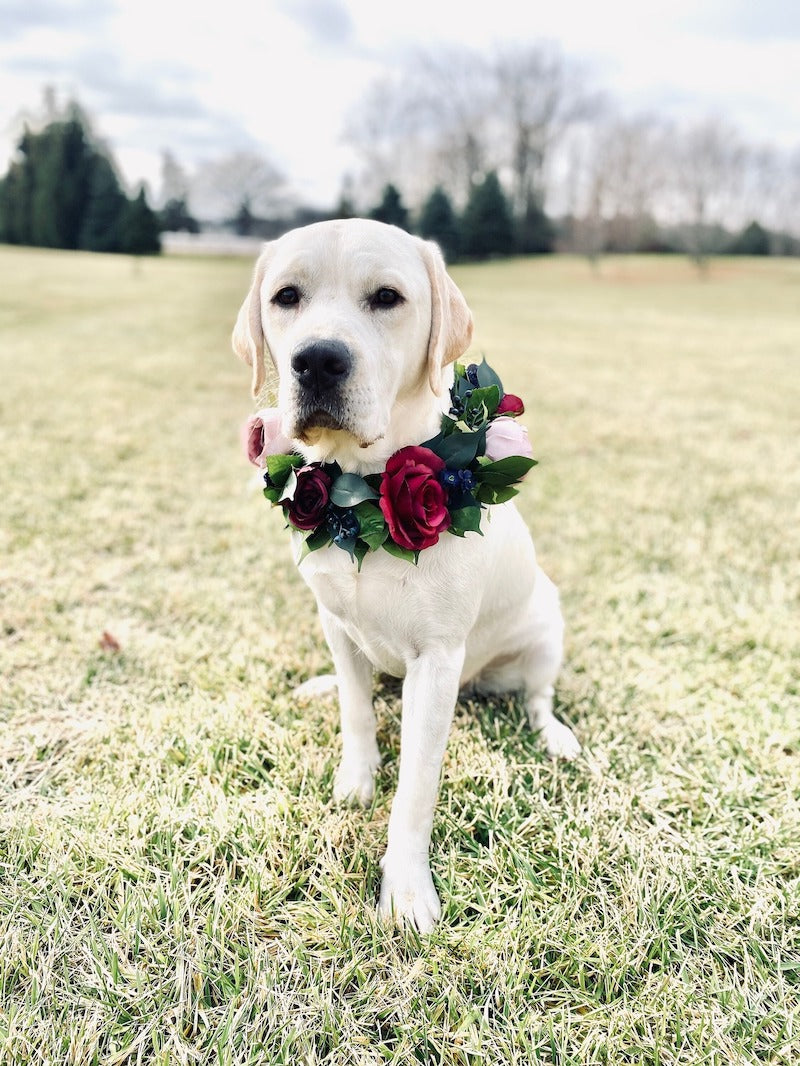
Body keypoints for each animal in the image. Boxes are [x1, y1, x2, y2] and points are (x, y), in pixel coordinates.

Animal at [230, 218, 576, 933]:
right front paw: (356, 780)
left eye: (387, 298)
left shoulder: (437, 660)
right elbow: (357, 712)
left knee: (537, 695)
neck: (360, 498)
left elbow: (415, 790)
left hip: (545, 629)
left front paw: (407, 890)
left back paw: (553, 733)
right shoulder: (336, 621)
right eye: (286, 297)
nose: (318, 360)